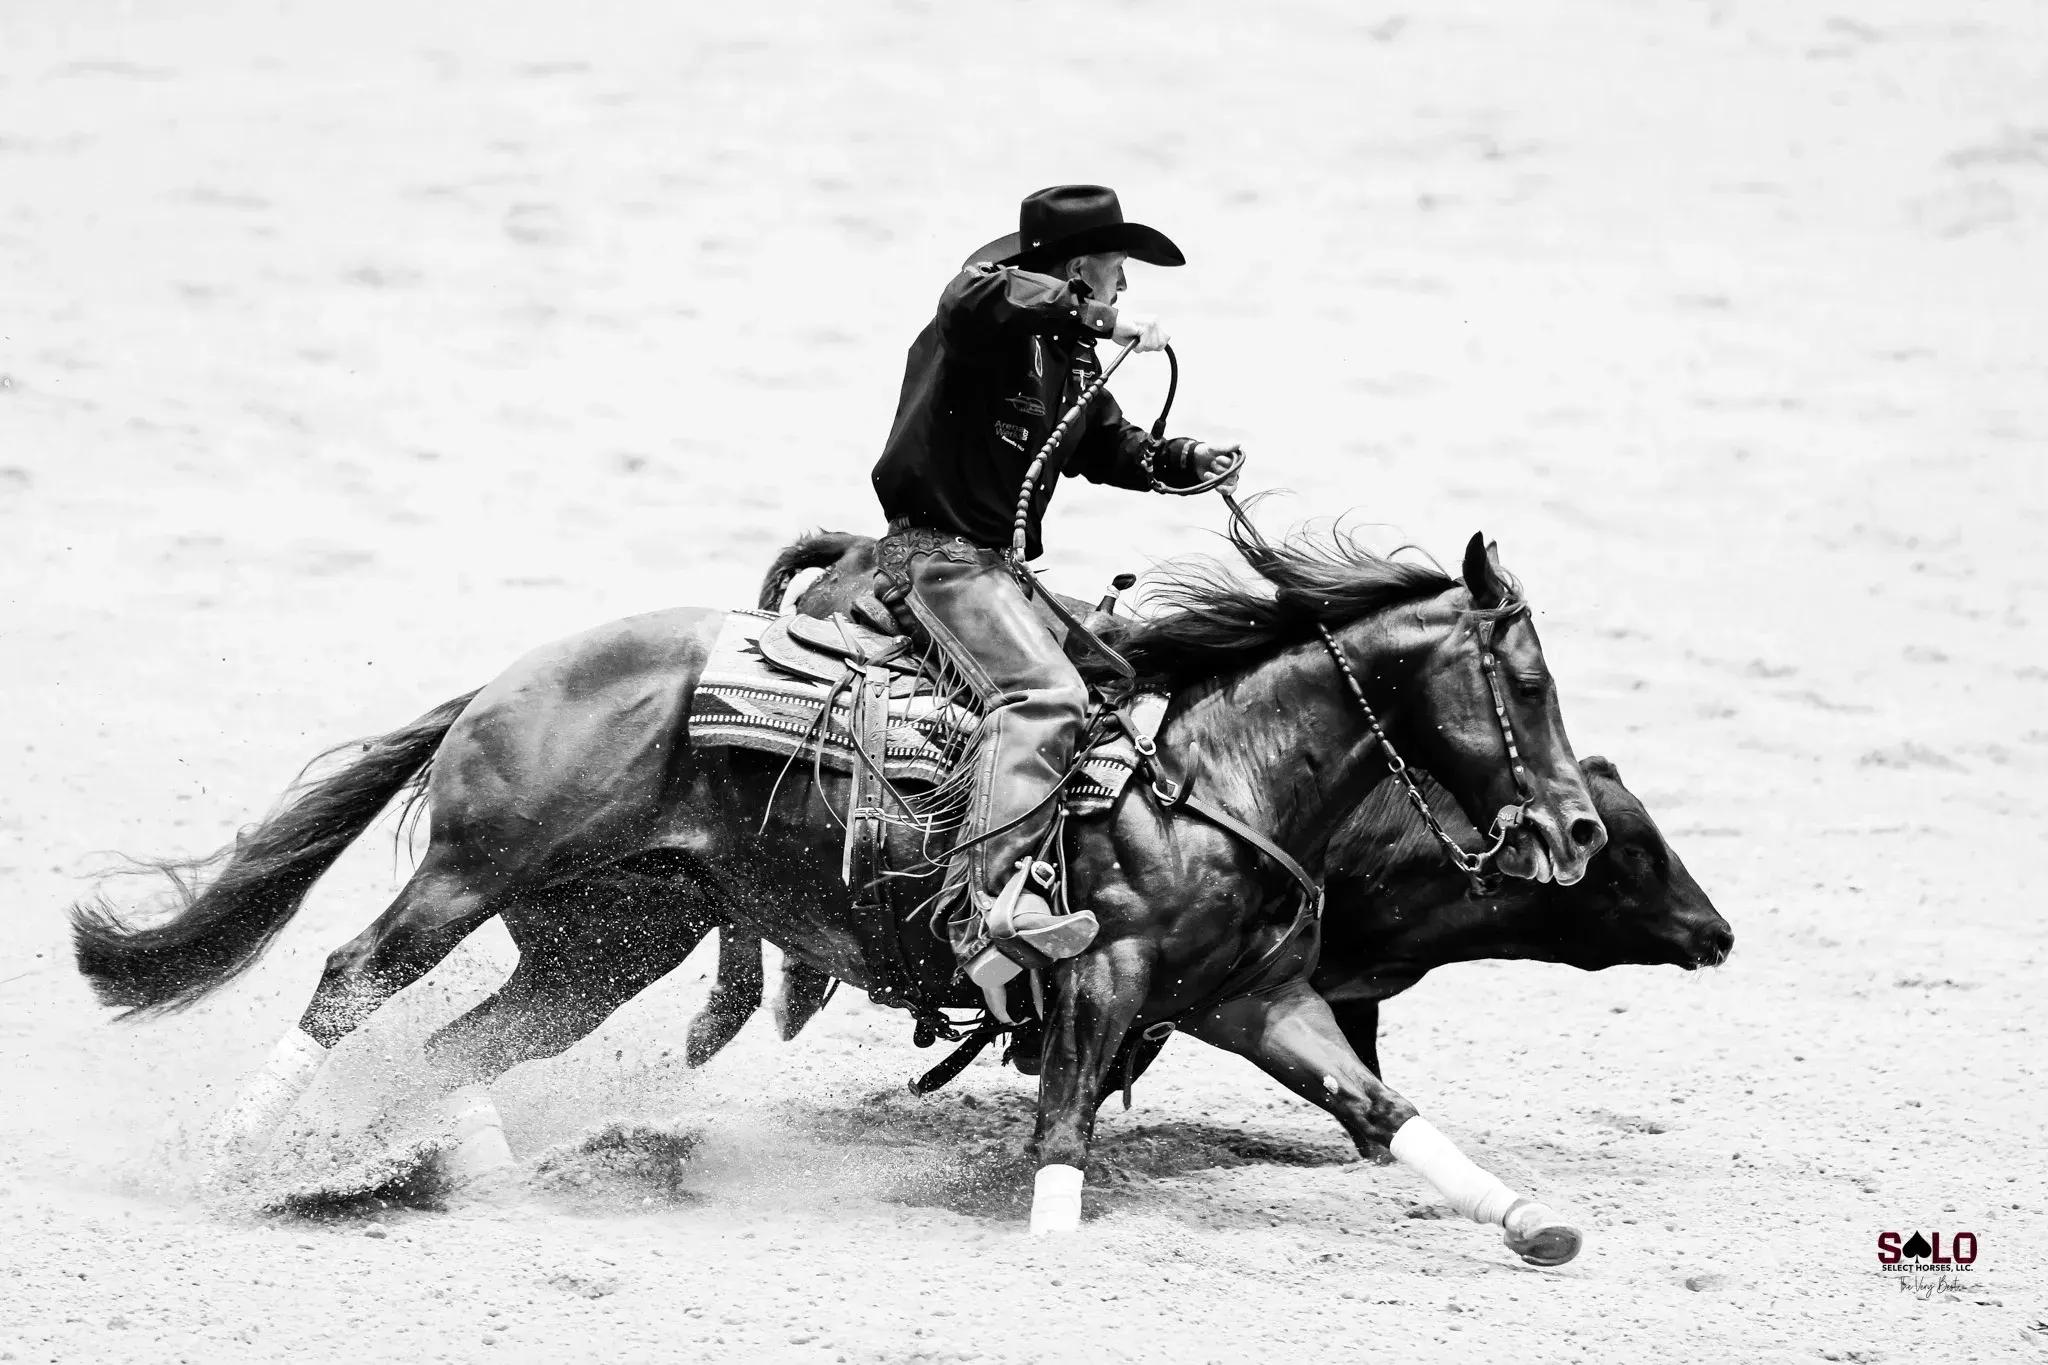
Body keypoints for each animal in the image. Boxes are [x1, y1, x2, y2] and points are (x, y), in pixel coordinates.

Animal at [72, 519, 1609, 1260]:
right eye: (1527, 680)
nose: (1582, 828)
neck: (1198, 782)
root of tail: (510, 679)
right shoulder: (1098, 980)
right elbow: (1061, 1126)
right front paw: (1054, 1254)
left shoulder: (1255, 1000)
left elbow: (1381, 1115)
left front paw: (1530, 1221)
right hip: (473, 871)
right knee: (352, 984)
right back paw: (242, 1160)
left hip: (603, 946)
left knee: (462, 1045)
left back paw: (484, 1185)